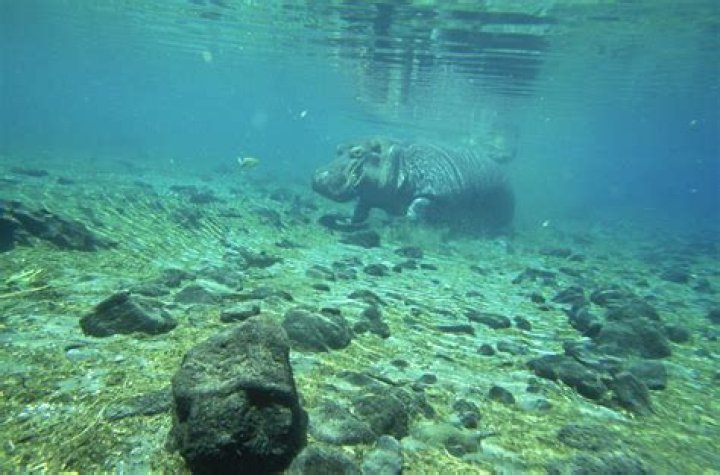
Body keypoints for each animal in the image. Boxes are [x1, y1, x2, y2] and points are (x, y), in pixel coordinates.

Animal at [312, 138, 514, 234]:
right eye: (338, 149)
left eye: (357, 152)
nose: (319, 177)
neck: (397, 157)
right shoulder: (369, 196)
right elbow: (359, 213)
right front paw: (341, 219)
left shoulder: (433, 194)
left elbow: (416, 208)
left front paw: (396, 223)